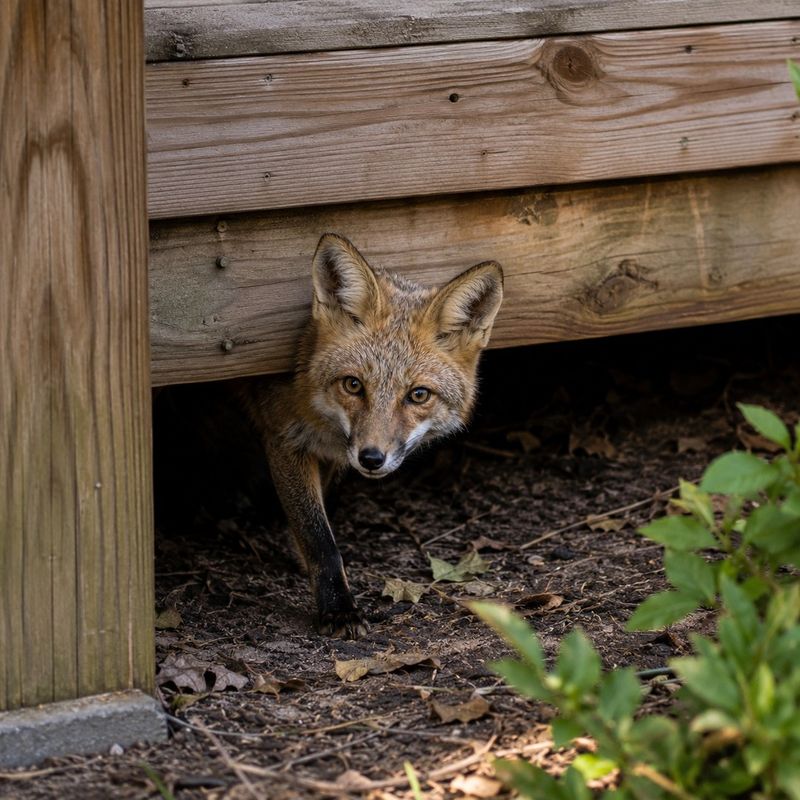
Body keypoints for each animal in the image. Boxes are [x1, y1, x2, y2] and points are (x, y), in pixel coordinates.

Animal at [240, 233, 503, 638]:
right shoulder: (283, 437)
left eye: (418, 395)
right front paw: (337, 607)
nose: (371, 458)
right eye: (353, 385)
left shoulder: (329, 456)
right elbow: (319, 537)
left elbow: (318, 517)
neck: (317, 414)